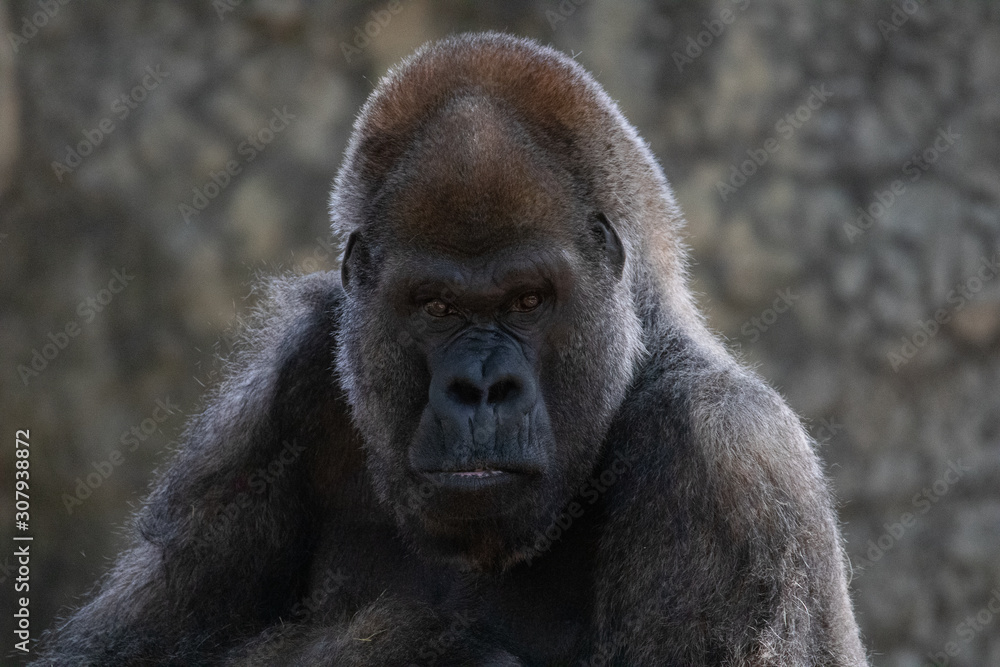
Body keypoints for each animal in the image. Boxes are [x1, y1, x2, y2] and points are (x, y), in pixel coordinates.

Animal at [34, 32, 867, 665]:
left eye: (529, 301)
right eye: (435, 306)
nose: (481, 386)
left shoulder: (730, 456)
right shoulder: (285, 385)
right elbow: (112, 651)